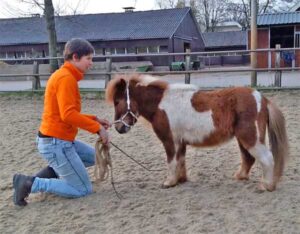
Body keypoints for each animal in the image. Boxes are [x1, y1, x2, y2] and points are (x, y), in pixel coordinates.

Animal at [105, 74, 288, 191]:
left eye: (117, 101)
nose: (119, 128)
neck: (161, 104)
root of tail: (262, 99)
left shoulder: (170, 141)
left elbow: (171, 161)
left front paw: (169, 182)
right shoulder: (180, 142)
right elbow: (180, 160)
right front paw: (180, 180)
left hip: (250, 138)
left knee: (266, 158)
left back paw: (266, 186)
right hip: (244, 139)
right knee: (249, 159)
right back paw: (240, 177)